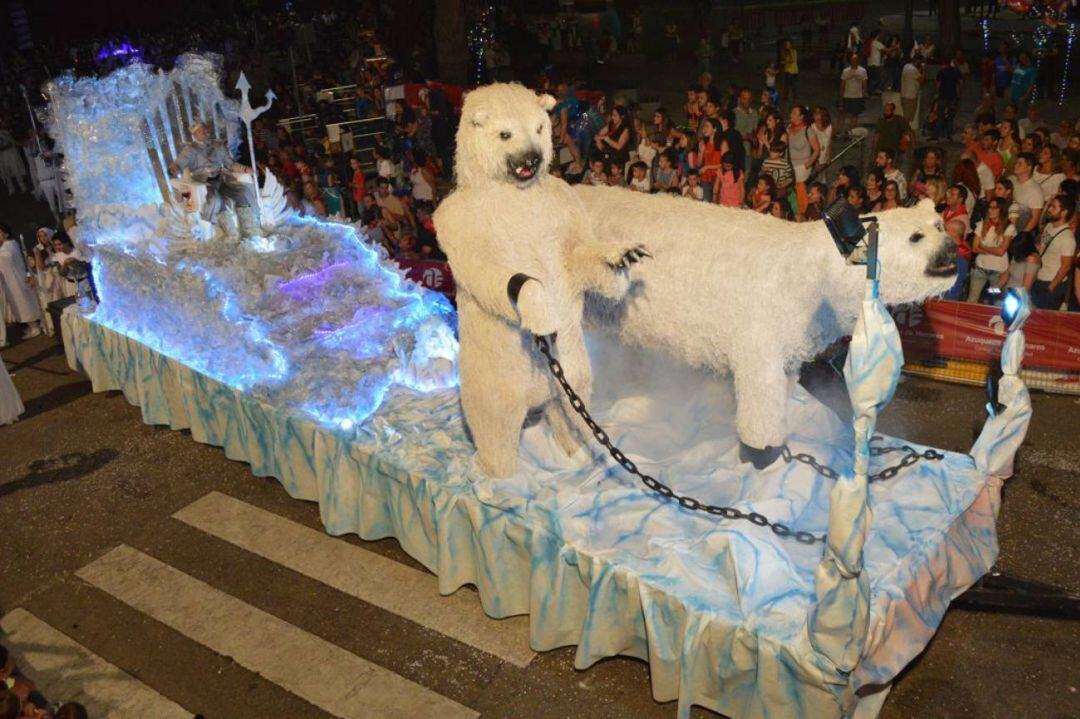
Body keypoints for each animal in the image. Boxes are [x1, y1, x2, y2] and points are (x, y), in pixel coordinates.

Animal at [434, 82, 643, 475]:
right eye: (505, 133)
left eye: (540, 128)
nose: (531, 159)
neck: (516, 193)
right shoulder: (463, 220)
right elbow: (490, 271)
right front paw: (539, 310)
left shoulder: (562, 204)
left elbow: (575, 254)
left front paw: (622, 258)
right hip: (495, 378)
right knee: (495, 429)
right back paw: (499, 475)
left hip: (569, 369)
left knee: (569, 407)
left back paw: (577, 453)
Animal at [574, 184, 954, 464]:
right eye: (915, 237)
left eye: (938, 225)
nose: (951, 249)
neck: (810, 275)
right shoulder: (759, 328)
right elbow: (759, 396)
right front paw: (760, 453)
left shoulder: (792, 338)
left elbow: (783, 384)